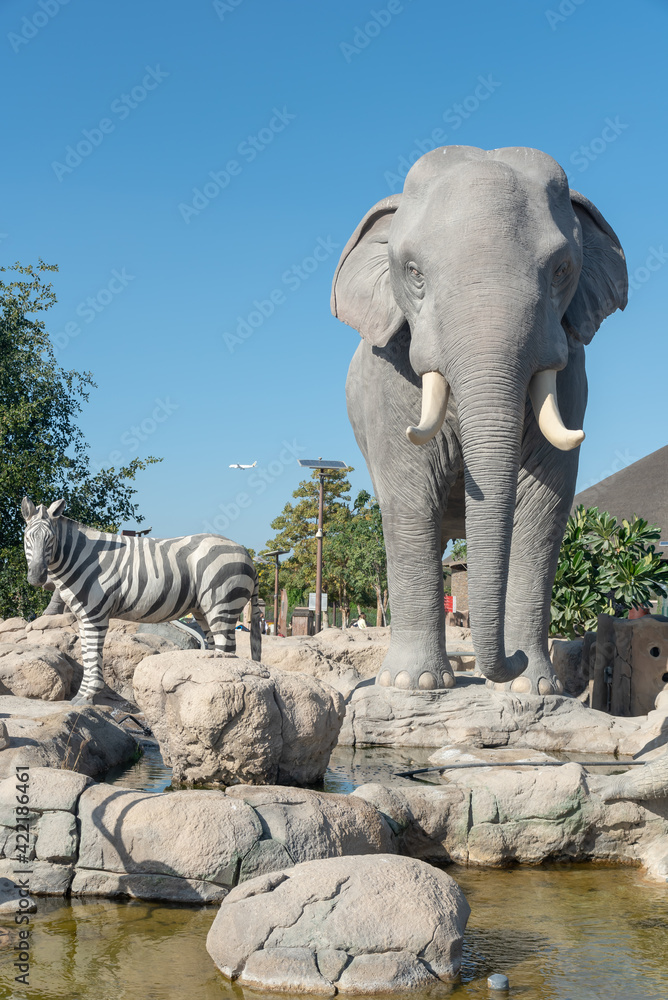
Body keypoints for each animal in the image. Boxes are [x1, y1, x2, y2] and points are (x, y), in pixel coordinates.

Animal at [332, 148, 628, 692]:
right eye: (414, 272)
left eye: (561, 270)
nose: (512, 659)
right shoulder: (389, 382)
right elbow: (410, 499)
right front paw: (414, 685)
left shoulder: (572, 375)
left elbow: (543, 506)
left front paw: (534, 689)